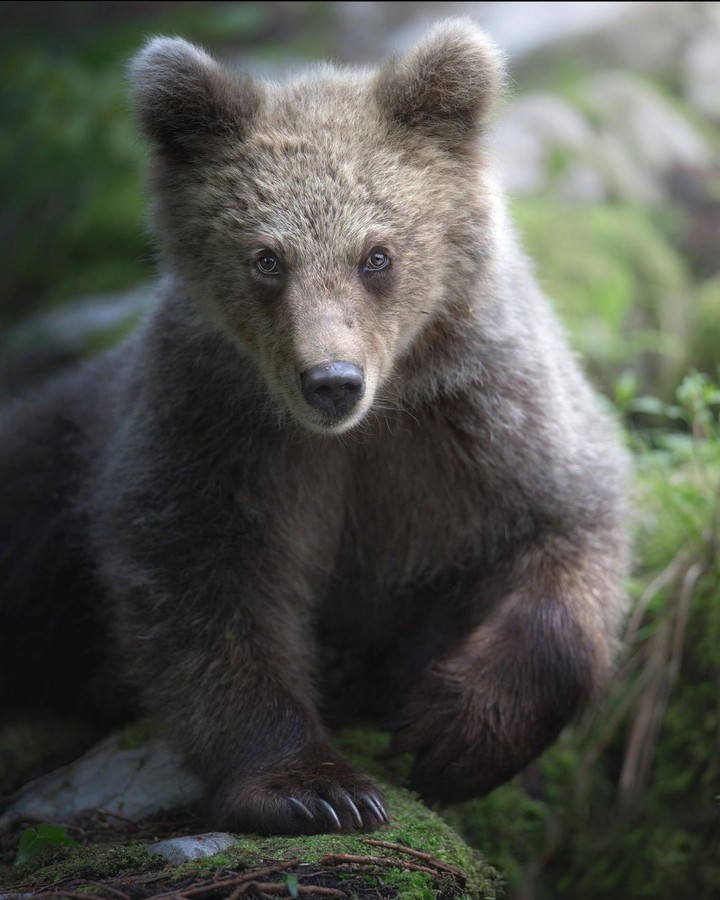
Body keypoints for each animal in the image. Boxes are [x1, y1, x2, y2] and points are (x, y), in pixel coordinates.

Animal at [0, 20, 629, 835]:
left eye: (377, 254)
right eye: (267, 258)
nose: (332, 380)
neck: (368, 423)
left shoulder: (487, 415)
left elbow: (569, 525)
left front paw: (454, 733)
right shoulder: (216, 431)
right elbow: (204, 589)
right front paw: (317, 788)